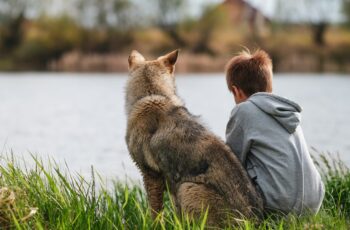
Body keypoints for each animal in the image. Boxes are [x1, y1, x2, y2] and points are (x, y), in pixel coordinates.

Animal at [125, 50, 262, 226]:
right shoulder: (170, 186)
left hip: (187, 188)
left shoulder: (151, 175)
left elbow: (155, 213)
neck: (152, 95)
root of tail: (252, 221)